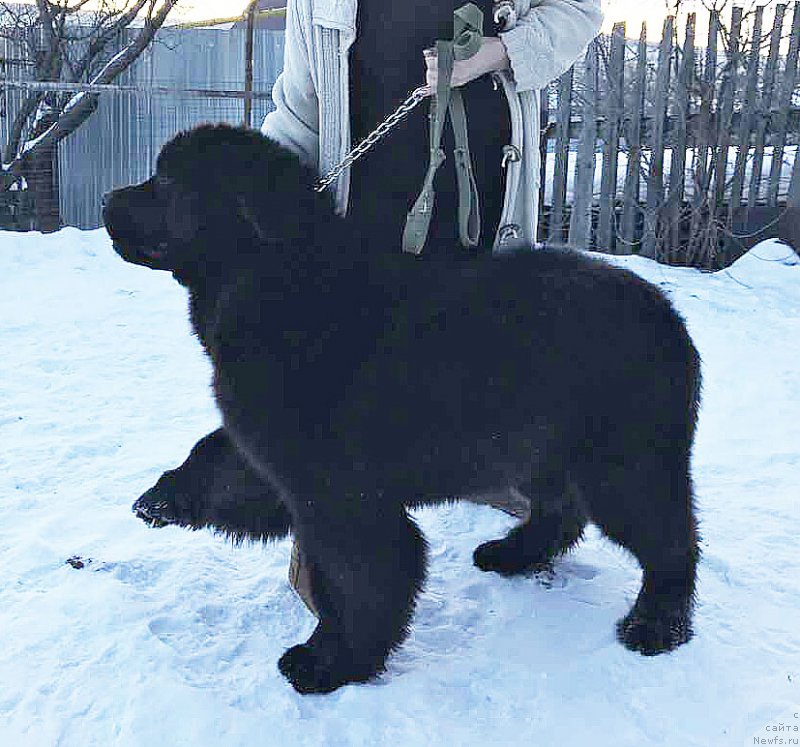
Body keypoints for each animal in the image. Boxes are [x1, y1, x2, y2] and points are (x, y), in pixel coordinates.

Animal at [103, 124, 704, 696]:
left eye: (167, 182)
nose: (108, 198)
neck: (278, 287)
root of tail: (669, 316)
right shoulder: (275, 455)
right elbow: (219, 457)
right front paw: (165, 496)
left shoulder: (341, 498)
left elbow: (362, 582)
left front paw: (330, 662)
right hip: (541, 448)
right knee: (562, 513)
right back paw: (514, 554)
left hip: (624, 465)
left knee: (672, 542)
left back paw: (657, 625)